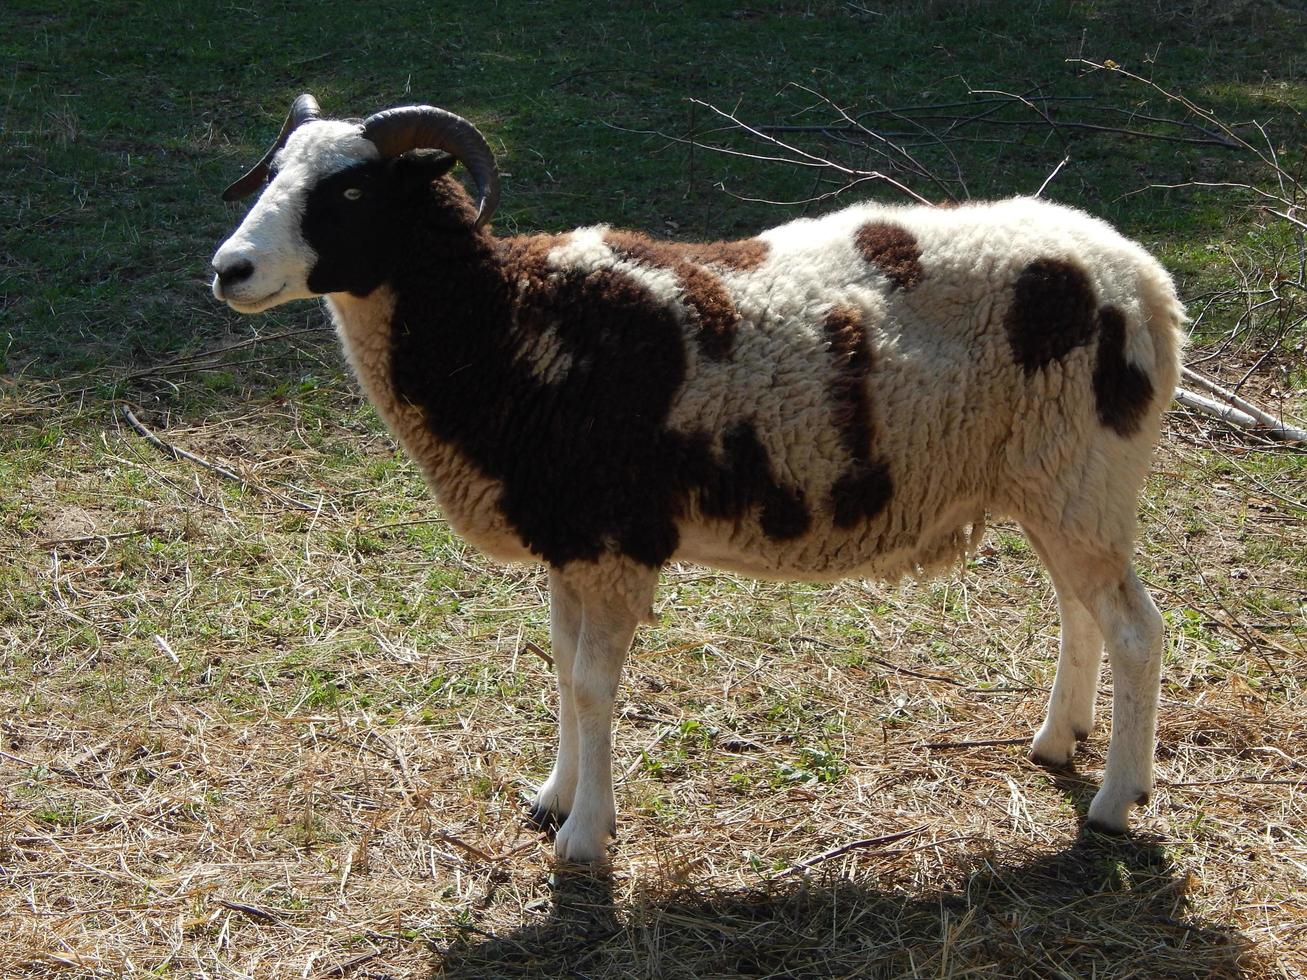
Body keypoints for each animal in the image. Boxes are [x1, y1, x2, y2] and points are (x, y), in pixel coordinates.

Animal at [211, 92, 1186, 857]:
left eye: (350, 190)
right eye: (271, 173)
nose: (229, 269)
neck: (513, 325)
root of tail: (1143, 279)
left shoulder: (615, 539)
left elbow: (593, 686)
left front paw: (583, 838)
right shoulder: (571, 540)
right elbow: (560, 671)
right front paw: (554, 796)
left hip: (1082, 472)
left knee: (1135, 629)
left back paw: (1114, 801)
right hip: (1054, 482)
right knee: (1078, 610)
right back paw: (1057, 741)